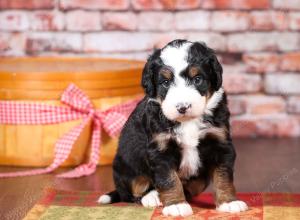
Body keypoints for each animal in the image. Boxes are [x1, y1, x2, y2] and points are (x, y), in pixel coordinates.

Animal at [98, 39, 248, 217]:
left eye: (197, 79)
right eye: (165, 82)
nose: (182, 107)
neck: (188, 121)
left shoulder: (220, 142)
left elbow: (223, 176)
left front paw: (229, 202)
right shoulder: (161, 148)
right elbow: (169, 179)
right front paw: (176, 205)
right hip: (126, 165)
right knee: (133, 192)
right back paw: (152, 197)